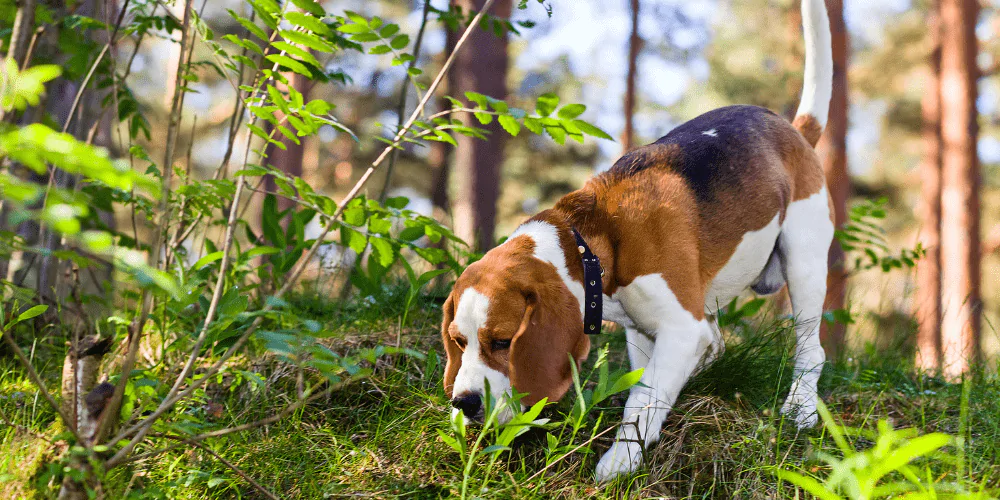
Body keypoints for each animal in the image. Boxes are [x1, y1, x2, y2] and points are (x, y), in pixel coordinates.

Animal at [442, 0, 832, 480]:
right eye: (459, 342)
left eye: (502, 342)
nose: (463, 403)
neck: (594, 243)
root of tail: (794, 132)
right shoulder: (643, 332)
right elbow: (648, 386)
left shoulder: (680, 327)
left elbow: (642, 399)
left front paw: (620, 460)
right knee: (717, 344)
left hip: (804, 262)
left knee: (811, 348)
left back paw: (801, 407)